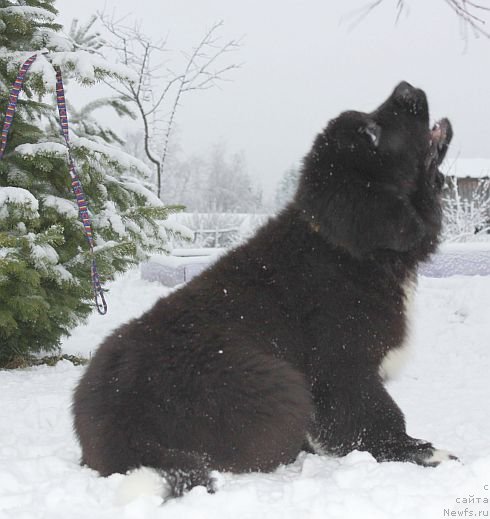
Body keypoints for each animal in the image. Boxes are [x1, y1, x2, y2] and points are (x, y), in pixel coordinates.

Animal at [72, 81, 456, 500]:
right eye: (372, 132)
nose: (405, 87)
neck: (348, 249)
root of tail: (120, 430)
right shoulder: (343, 363)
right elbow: (375, 414)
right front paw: (422, 451)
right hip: (280, 383)